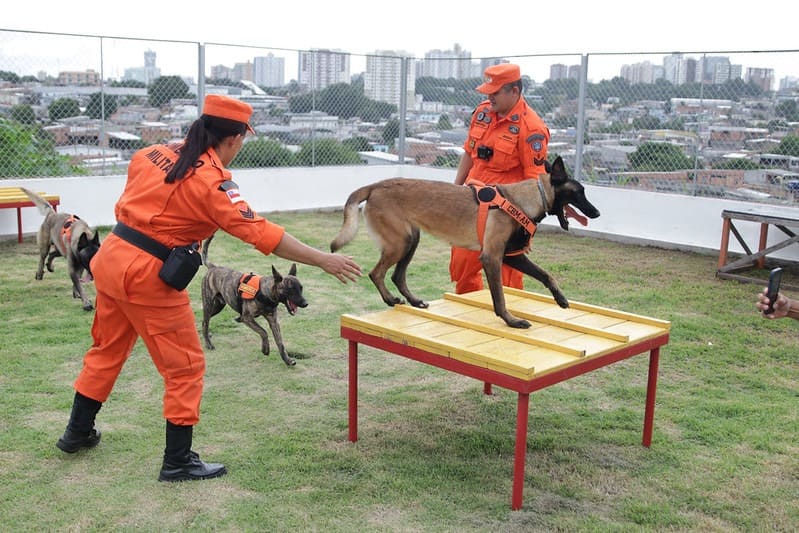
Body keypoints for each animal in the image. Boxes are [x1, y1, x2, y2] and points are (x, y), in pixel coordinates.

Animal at [202, 233, 308, 366]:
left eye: (301, 288)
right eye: (290, 289)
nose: (305, 303)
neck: (265, 292)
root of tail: (213, 267)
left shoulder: (273, 321)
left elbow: (280, 342)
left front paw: (287, 360)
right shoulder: (247, 318)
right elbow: (263, 331)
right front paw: (265, 349)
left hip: (217, 307)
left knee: (204, 321)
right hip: (208, 304)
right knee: (205, 322)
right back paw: (208, 344)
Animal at [330, 155, 600, 328]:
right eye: (580, 192)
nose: (596, 213)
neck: (526, 199)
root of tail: (376, 185)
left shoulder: (512, 257)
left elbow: (546, 275)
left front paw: (561, 299)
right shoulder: (492, 257)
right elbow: (499, 296)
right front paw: (511, 321)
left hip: (411, 240)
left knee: (397, 275)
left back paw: (415, 301)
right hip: (400, 243)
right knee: (376, 273)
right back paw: (390, 299)